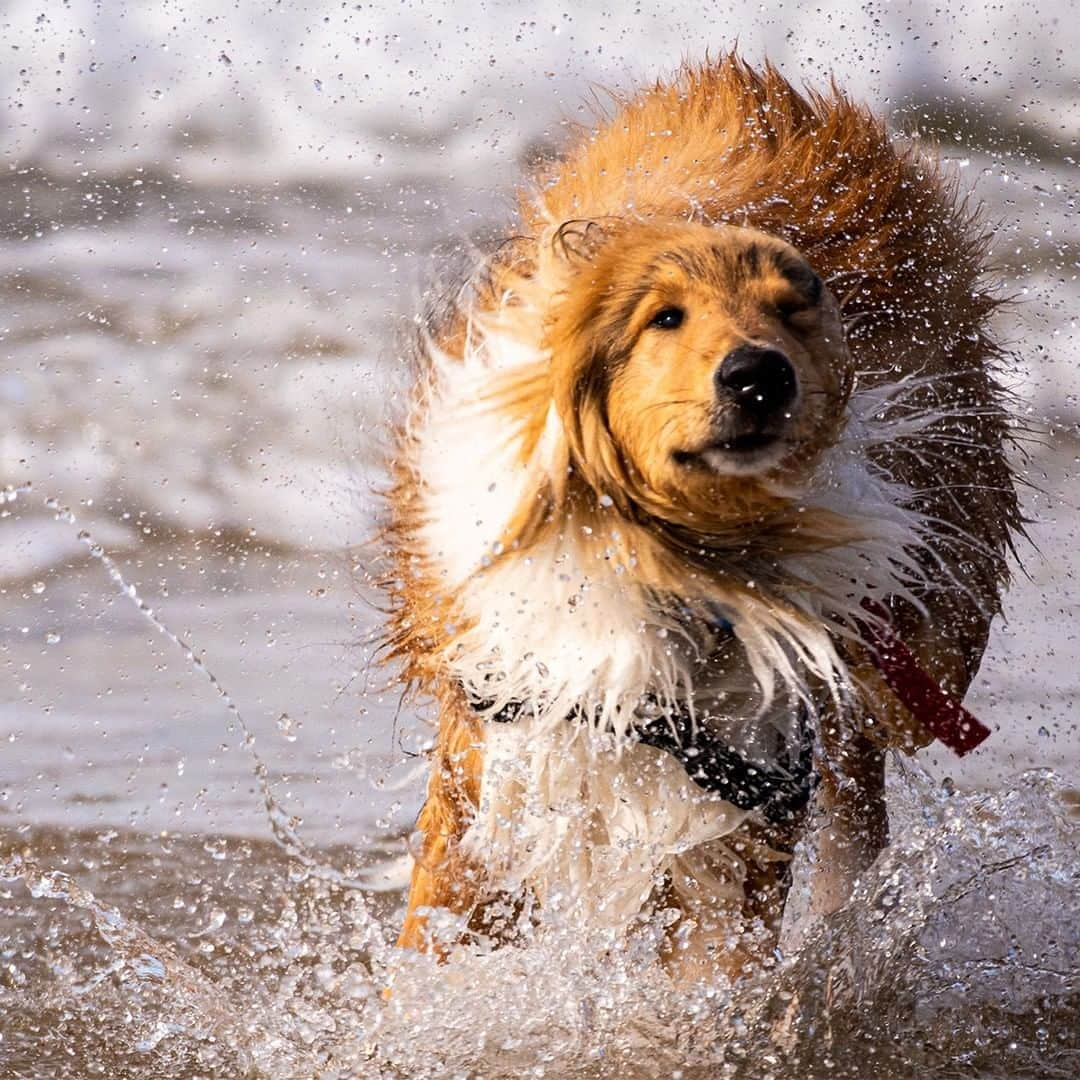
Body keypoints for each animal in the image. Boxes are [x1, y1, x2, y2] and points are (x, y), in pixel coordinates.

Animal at [382, 56, 1019, 989]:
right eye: (665, 316)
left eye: (794, 309)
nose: (760, 376)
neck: (677, 559)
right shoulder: (497, 738)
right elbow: (439, 937)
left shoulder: (753, 778)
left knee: (859, 799)